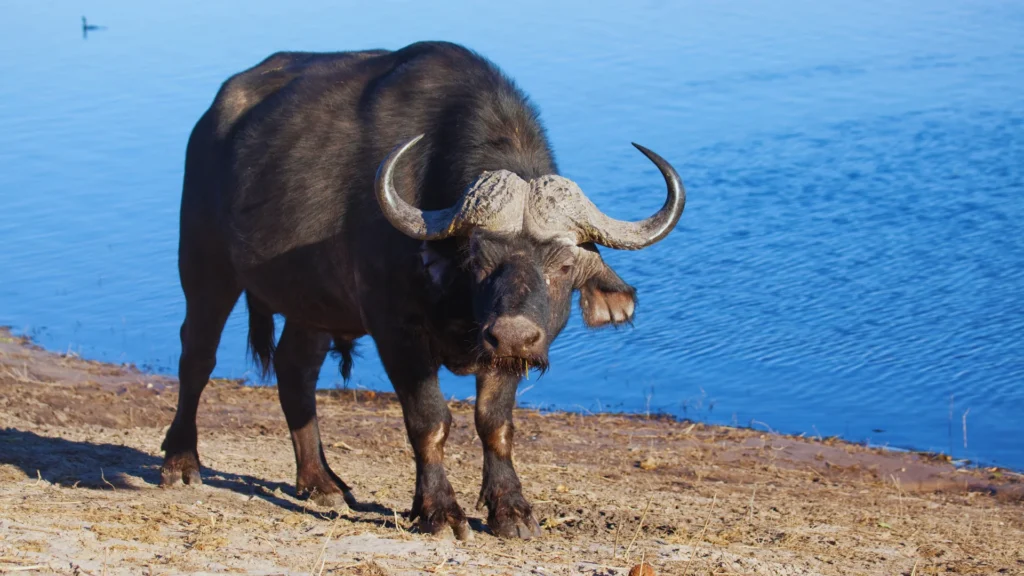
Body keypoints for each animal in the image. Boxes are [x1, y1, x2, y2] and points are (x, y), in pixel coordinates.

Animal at [160, 41, 686, 540]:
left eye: (563, 263)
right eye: (476, 257)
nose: (514, 334)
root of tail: (213, 119)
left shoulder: (501, 354)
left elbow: (495, 423)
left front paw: (511, 510)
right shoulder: (396, 330)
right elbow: (430, 422)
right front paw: (439, 511)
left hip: (313, 304)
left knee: (295, 370)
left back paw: (321, 482)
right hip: (205, 266)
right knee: (197, 356)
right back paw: (181, 463)